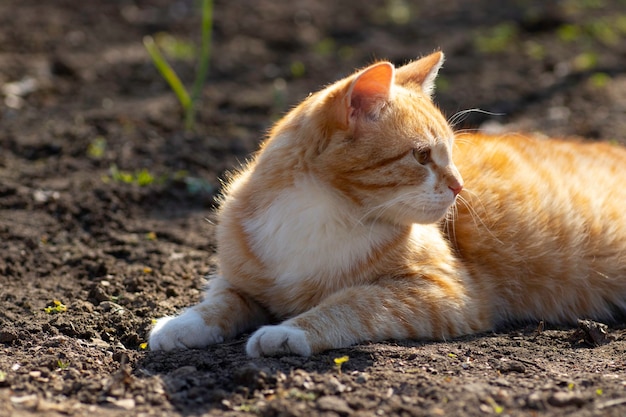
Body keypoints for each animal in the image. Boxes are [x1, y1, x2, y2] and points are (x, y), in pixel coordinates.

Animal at [147, 51, 624, 354]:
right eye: (422, 156)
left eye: (452, 153)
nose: (460, 187)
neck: (322, 213)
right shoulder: (241, 280)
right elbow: (219, 302)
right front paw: (180, 324)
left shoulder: (444, 291)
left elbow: (354, 302)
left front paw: (288, 333)